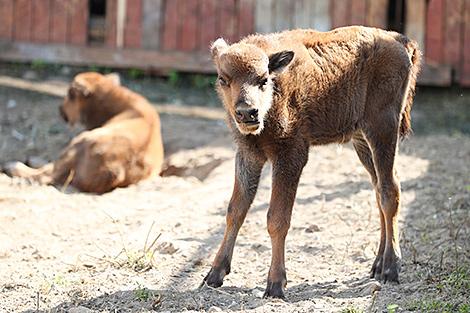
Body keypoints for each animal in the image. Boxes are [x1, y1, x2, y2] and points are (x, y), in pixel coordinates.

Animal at [3, 72, 163, 193]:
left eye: (70, 94)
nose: (60, 108)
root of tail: (114, 171)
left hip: (81, 140)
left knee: (47, 173)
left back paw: (12, 166)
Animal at [204, 27, 420, 298]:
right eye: (223, 79)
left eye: (263, 79)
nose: (247, 113)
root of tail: (400, 40)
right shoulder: (248, 155)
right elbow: (236, 210)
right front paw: (214, 274)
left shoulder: (290, 156)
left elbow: (277, 219)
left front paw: (275, 284)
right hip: (362, 140)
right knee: (380, 189)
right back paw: (377, 265)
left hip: (383, 128)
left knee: (390, 192)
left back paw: (390, 269)